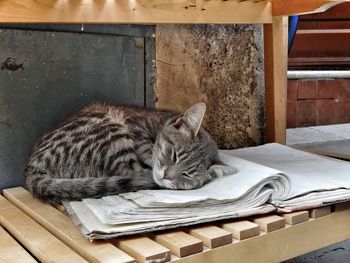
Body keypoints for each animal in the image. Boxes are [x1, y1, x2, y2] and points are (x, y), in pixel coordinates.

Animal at [26, 102, 220, 203]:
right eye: (174, 155)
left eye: (187, 175)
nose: (167, 176)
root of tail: (32, 167)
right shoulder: (137, 131)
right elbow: (148, 151)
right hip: (112, 131)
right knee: (131, 172)